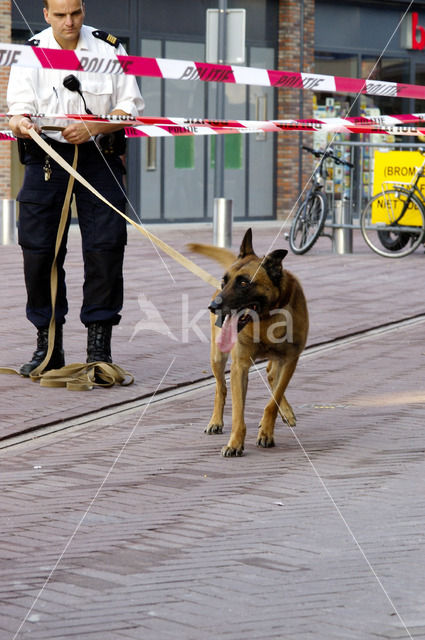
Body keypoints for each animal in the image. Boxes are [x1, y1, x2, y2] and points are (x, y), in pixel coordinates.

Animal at [189, 228, 308, 458]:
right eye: (224, 281)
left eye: (244, 283)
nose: (213, 307)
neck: (266, 318)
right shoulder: (240, 366)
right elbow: (238, 411)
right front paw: (235, 443)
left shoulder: (290, 361)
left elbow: (273, 400)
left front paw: (267, 432)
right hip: (217, 357)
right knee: (221, 388)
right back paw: (215, 421)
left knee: (272, 377)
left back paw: (284, 413)